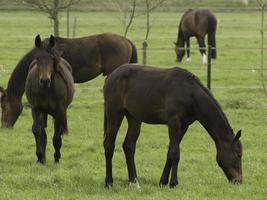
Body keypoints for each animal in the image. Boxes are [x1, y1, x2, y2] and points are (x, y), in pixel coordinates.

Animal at [25, 35, 75, 163]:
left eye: (52, 58)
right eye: (37, 58)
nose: (44, 81)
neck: (46, 90)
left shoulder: (59, 110)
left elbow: (57, 135)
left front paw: (57, 158)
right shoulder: (36, 109)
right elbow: (37, 131)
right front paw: (39, 157)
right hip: (43, 112)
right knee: (43, 133)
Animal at [103, 63, 244, 188]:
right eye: (238, 155)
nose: (239, 181)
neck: (190, 93)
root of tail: (110, 76)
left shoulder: (184, 126)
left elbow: (170, 152)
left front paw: (163, 182)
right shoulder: (174, 123)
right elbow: (175, 153)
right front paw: (174, 183)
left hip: (134, 118)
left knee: (129, 146)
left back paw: (134, 182)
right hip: (115, 114)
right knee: (109, 146)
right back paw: (109, 182)